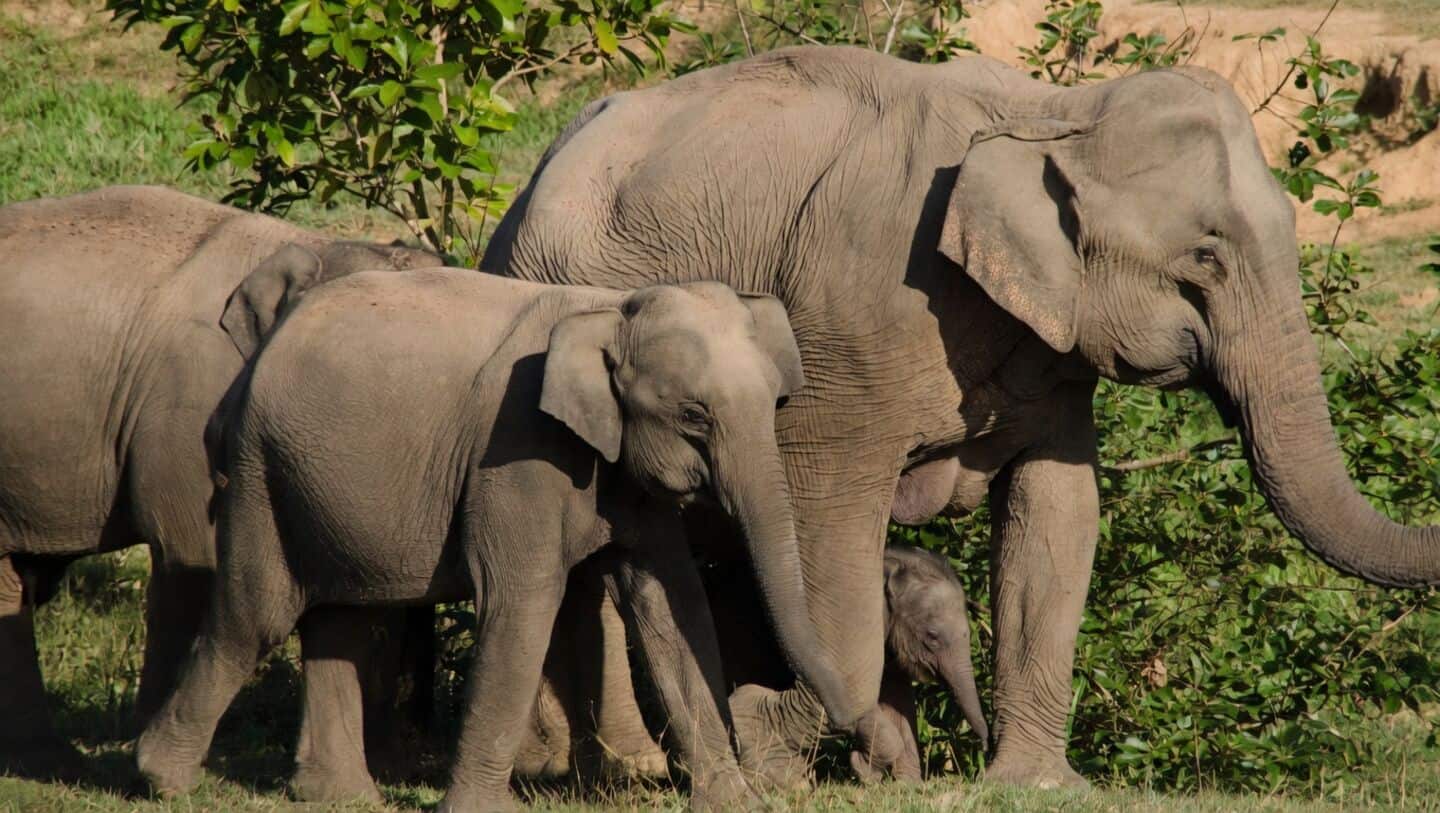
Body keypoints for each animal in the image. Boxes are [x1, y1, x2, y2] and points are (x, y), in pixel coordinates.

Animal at [134, 272, 855, 811]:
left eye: (776, 402)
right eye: (694, 415)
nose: (853, 717)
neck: (608, 307)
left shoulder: (625, 476)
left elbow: (673, 609)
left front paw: (733, 803)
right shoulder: (517, 452)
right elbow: (524, 603)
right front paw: (480, 809)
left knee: (342, 619)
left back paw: (341, 796)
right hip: (260, 471)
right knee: (256, 615)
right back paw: (161, 778)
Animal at [481, 45, 1440, 788]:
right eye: (1205, 257)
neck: (1052, 114)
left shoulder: (1052, 353)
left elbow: (1060, 515)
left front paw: (1039, 784)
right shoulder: (853, 328)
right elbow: (828, 515)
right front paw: (769, 748)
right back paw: (613, 769)